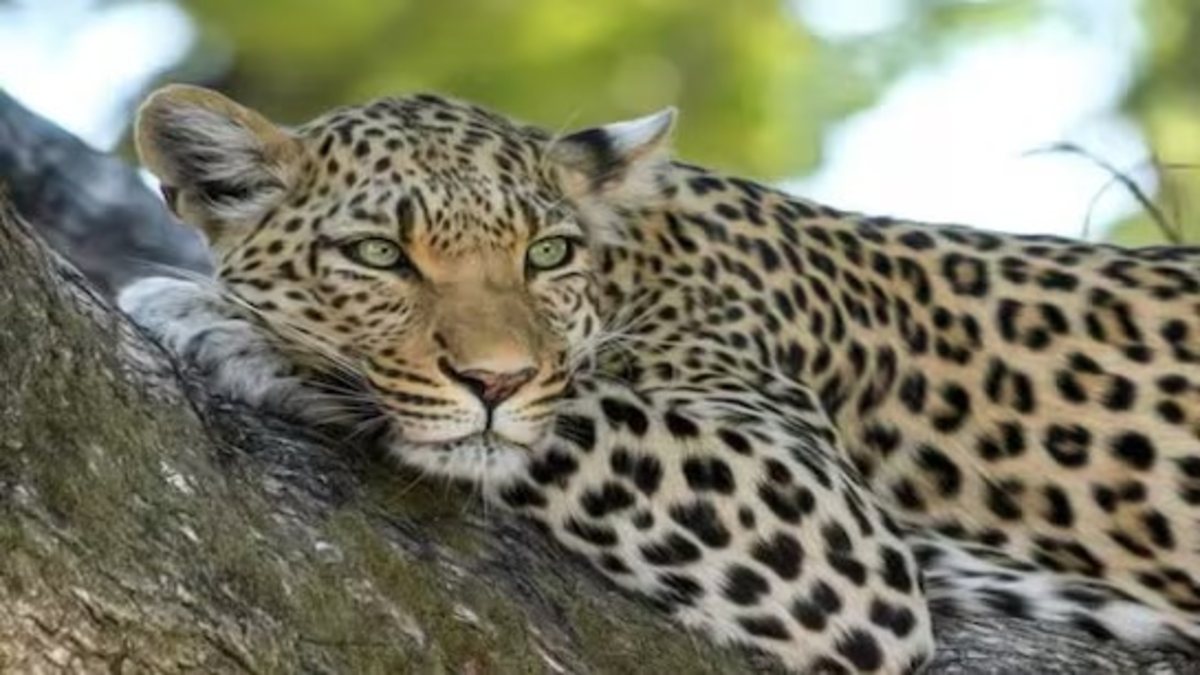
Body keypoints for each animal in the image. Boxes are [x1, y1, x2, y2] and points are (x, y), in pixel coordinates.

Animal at [118, 83, 1200, 673]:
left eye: (547, 254)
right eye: (380, 255)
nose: (495, 379)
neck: (638, 260)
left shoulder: (825, 523)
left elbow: (576, 412)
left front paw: (228, 326)